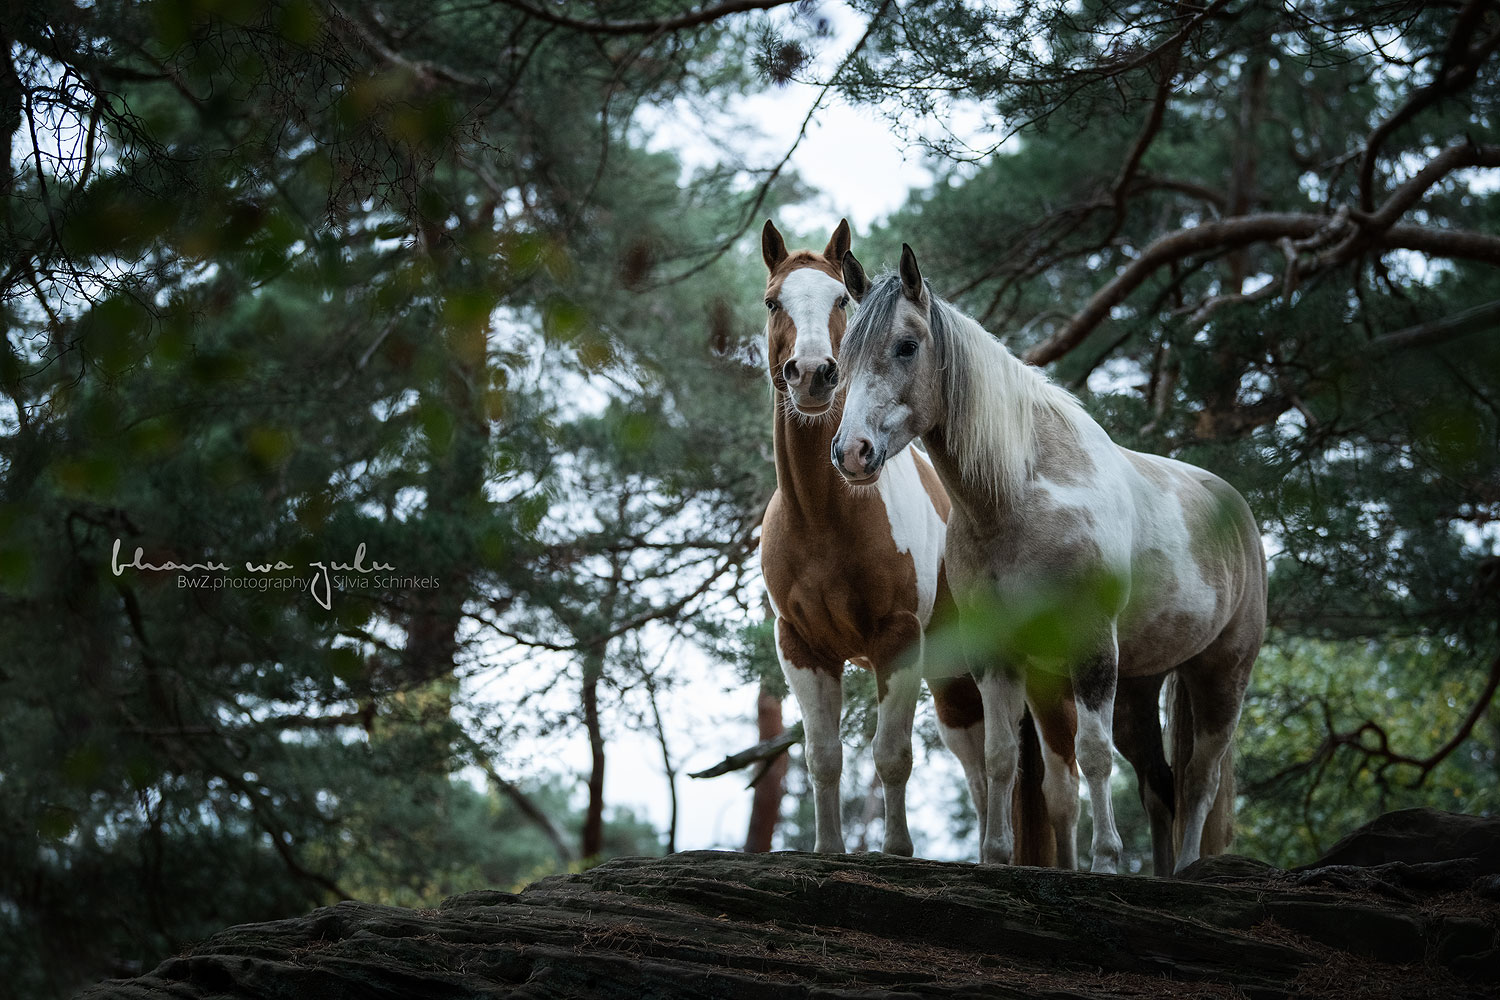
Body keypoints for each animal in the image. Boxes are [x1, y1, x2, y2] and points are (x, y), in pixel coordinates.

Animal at [762, 223, 1080, 863]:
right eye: (772, 302)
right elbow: (823, 758)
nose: (811, 374)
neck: (822, 518)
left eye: (840, 299)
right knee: (984, 774)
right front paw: (828, 851)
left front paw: (896, 851)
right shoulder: (802, 647)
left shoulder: (897, 636)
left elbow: (891, 755)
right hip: (955, 680)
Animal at [834, 245, 1266, 869]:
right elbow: (1001, 758)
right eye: (843, 354)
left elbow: (1093, 755)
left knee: (1198, 779)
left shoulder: (1092, 645)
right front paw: (996, 857)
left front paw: (1106, 860)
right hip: (1140, 685)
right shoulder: (999, 653)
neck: (1021, 498)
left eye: (906, 346)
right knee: (1159, 782)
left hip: (1221, 672)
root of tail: (1237, 510)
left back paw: (1186, 869)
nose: (852, 452)